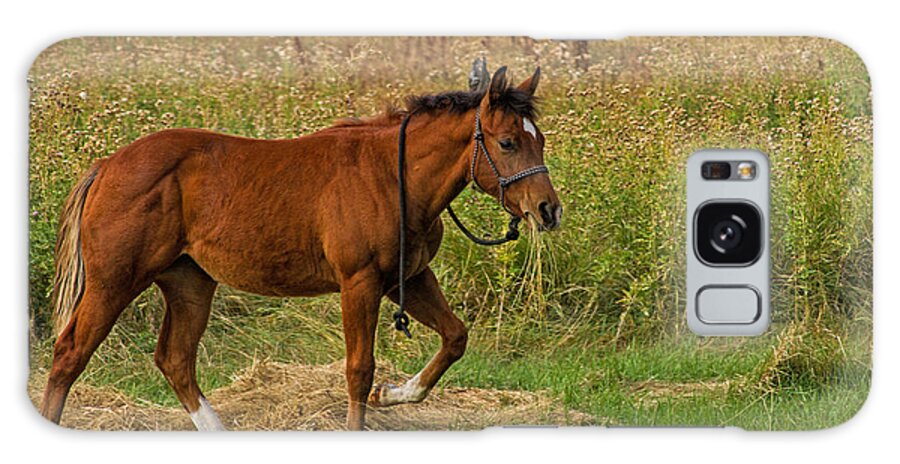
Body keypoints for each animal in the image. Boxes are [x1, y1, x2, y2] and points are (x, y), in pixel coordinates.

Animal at [42, 66, 564, 432]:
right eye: (508, 142)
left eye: (539, 139)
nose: (548, 210)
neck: (391, 176)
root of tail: (108, 164)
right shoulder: (360, 283)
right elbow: (359, 369)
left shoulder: (409, 278)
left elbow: (455, 337)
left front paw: (392, 394)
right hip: (114, 282)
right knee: (70, 353)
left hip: (190, 283)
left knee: (175, 361)